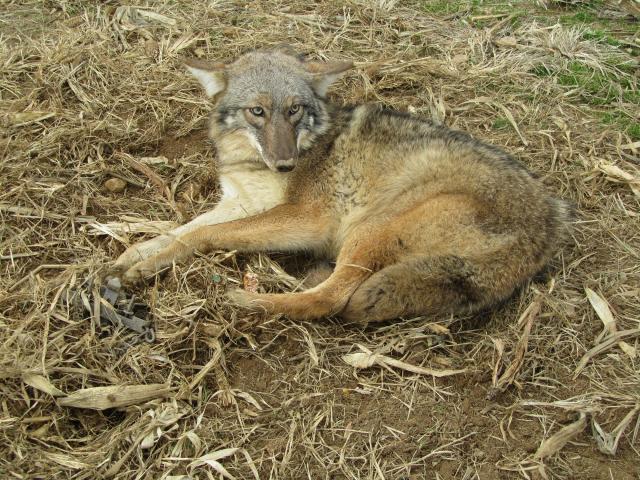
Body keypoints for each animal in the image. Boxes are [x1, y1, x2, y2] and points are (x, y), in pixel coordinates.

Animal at [116, 47, 572, 323]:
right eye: (257, 112)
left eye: (295, 110)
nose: (285, 163)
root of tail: (548, 229)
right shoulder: (238, 204)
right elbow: (182, 230)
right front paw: (134, 256)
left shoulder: (304, 218)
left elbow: (205, 235)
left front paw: (144, 264)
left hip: (369, 228)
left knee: (332, 299)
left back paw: (250, 301)